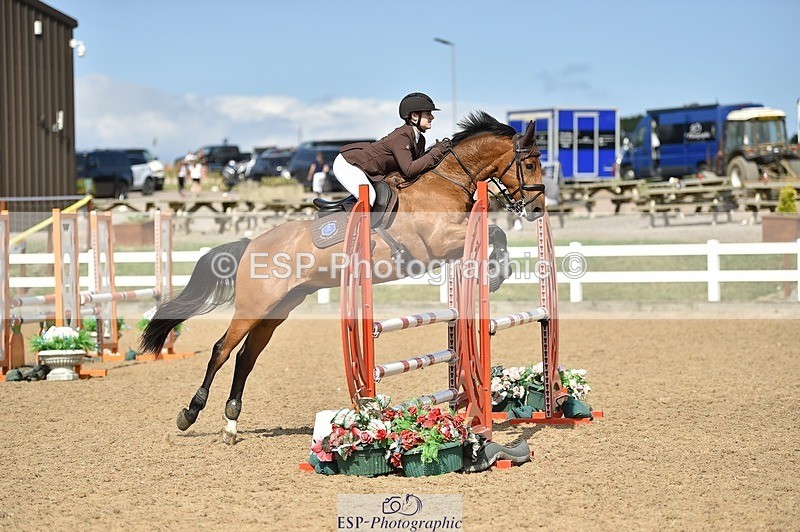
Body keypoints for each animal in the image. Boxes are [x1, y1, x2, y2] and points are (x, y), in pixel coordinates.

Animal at [140, 111, 545, 445]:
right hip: (254, 306)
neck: (444, 184)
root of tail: (252, 243)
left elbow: (494, 235)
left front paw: (496, 271)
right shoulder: (437, 242)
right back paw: (190, 413)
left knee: (245, 358)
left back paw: (230, 424)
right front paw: (496, 274)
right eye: (529, 163)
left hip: (279, 309)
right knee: (222, 350)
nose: (539, 209)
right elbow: (495, 231)